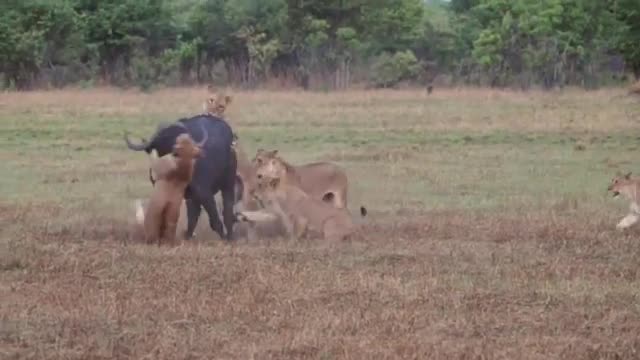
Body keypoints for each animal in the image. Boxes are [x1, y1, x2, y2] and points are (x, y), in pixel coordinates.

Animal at [239, 175, 370, 242]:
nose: (251, 192)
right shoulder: (276, 213)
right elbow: (257, 214)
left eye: (260, 185)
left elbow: (295, 234)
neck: (277, 198)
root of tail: (354, 227)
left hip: (329, 223)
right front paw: (241, 215)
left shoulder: (301, 218)